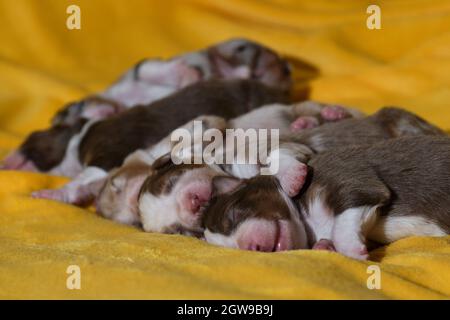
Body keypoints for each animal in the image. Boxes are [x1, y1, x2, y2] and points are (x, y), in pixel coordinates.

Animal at [134, 107, 442, 235]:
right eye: (176, 231)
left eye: (170, 181)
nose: (193, 204)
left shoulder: (279, 144)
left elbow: (275, 154)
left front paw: (293, 178)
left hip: (402, 121)